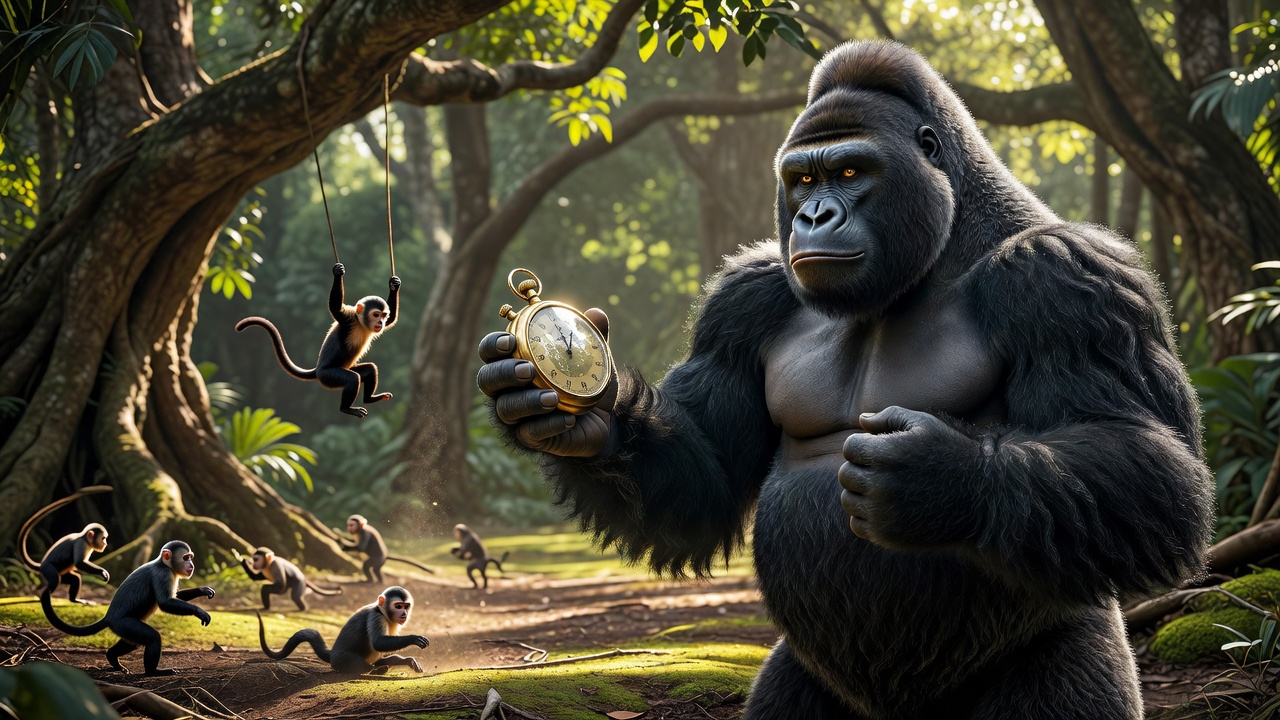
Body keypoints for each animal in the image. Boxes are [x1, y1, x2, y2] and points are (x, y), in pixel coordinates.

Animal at [41, 540, 215, 676]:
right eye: (186, 558)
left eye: (190, 558)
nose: (191, 564)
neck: (163, 564)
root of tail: (109, 616)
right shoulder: (162, 573)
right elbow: (165, 603)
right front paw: (199, 612)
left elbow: (175, 597)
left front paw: (202, 590)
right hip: (122, 623)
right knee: (152, 637)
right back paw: (152, 672)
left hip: (122, 627)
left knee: (133, 642)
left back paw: (112, 658)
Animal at [236, 263, 400, 419]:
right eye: (376, 314)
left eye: (383, 315)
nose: (380, 323)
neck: (361, 323)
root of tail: (317, 370)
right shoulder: (348, 320)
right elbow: (335, 308)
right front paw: (337, 273)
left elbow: (392, 320)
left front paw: (394, 285)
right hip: (328, 376)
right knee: (353, 378)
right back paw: (346, 408)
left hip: (344, 369)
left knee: (369, 369)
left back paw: (369, 399)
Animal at [257, 585, 429, 674]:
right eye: (398, 606)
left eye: (406, 606)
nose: (404, 613)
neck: (383, 612)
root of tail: (332, 653)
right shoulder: (375, 616)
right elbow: (378, 643)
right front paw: (414, 638)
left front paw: (407, 660)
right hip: (341, 660)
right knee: (362, 665)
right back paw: (374, 670)